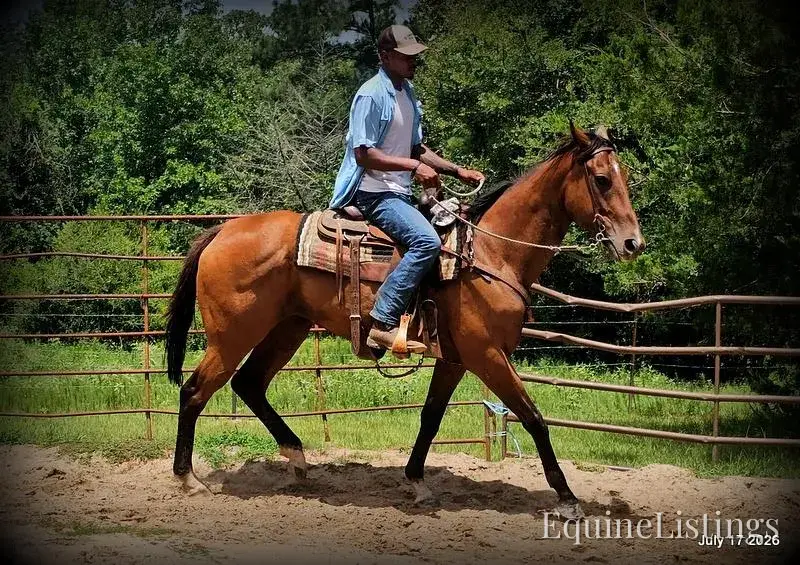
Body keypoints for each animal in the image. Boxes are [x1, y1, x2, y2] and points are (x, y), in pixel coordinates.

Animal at [164, 123, 644, 519]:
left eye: (623, 176)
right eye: (602, 179)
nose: (632, 243)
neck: (489, 254)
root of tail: (222, 231)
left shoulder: (454, 359)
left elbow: (431, 417)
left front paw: (417, 483)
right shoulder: (487, 356)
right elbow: (534, 418)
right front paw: (567, 499)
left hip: (288, 328)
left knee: (249, 384)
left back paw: (297, 458)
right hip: (232, 335)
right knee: (194, 391)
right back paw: (188, 479)